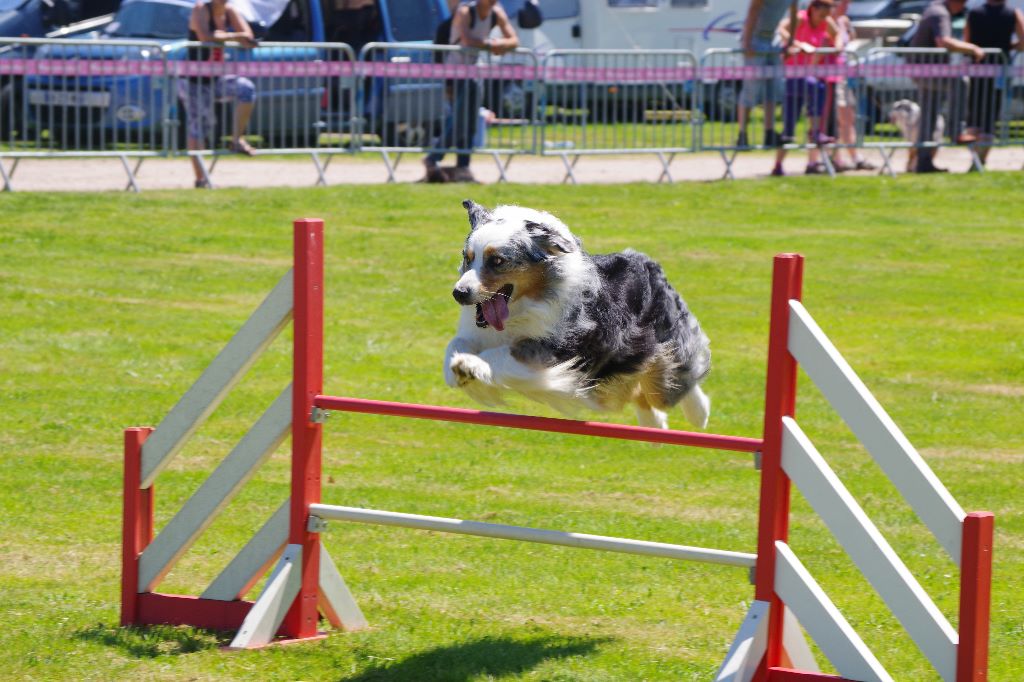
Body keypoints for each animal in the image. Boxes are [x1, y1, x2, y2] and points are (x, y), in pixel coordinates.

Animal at [440, 199, 712, 428]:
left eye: (497, 261)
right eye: (467, 258)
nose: (459, 293)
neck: (522, 307)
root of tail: (648, 263)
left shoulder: (556, 348)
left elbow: (502, 353)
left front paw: (468, 365)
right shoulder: (478, 332)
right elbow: (457, 342)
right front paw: (454, 370)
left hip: (656, 355)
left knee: (678, 377)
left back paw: (699, 414)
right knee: (641, 393)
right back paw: (654, 424)